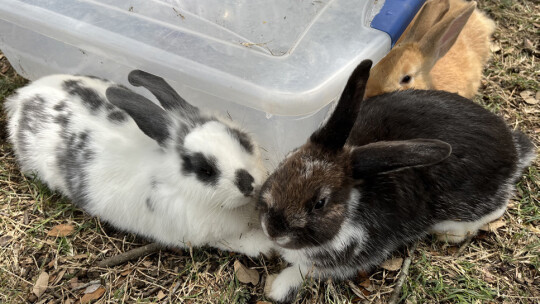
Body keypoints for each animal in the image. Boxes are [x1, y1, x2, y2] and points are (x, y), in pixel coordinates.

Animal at [6, 70, 278, 258]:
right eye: (205, 170)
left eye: (241, 140)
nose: (249, 183)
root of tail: (22, 98)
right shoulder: (206, 234)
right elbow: (239, 242)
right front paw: (265, 246)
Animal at [258, 60, 536, 302]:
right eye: (286, 162)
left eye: (320, 203)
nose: (273, 230)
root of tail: (514, 150)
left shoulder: (349, 259)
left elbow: (306, 270)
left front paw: (276, 288)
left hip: (467, 202)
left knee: (497, 208)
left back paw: (449, 232)